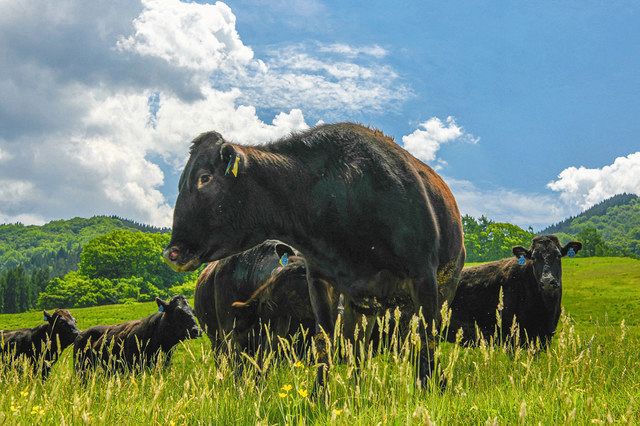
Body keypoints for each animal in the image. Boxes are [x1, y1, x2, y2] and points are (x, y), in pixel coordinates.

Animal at [164, 123, 464, 390]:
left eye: (204, 177)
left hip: (441, 287)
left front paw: (429, 388)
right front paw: (320, 397)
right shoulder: (320, 280)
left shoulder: (423, 276)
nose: (172, 252)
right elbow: (325, 341)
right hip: (363, 305)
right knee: (359, 347)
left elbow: (426, 337)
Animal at [448, 235, 584, 348]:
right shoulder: (510, 336)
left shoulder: (545, 336)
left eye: (558, 255)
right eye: (533, 257)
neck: (545, 307)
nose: (547, 281)